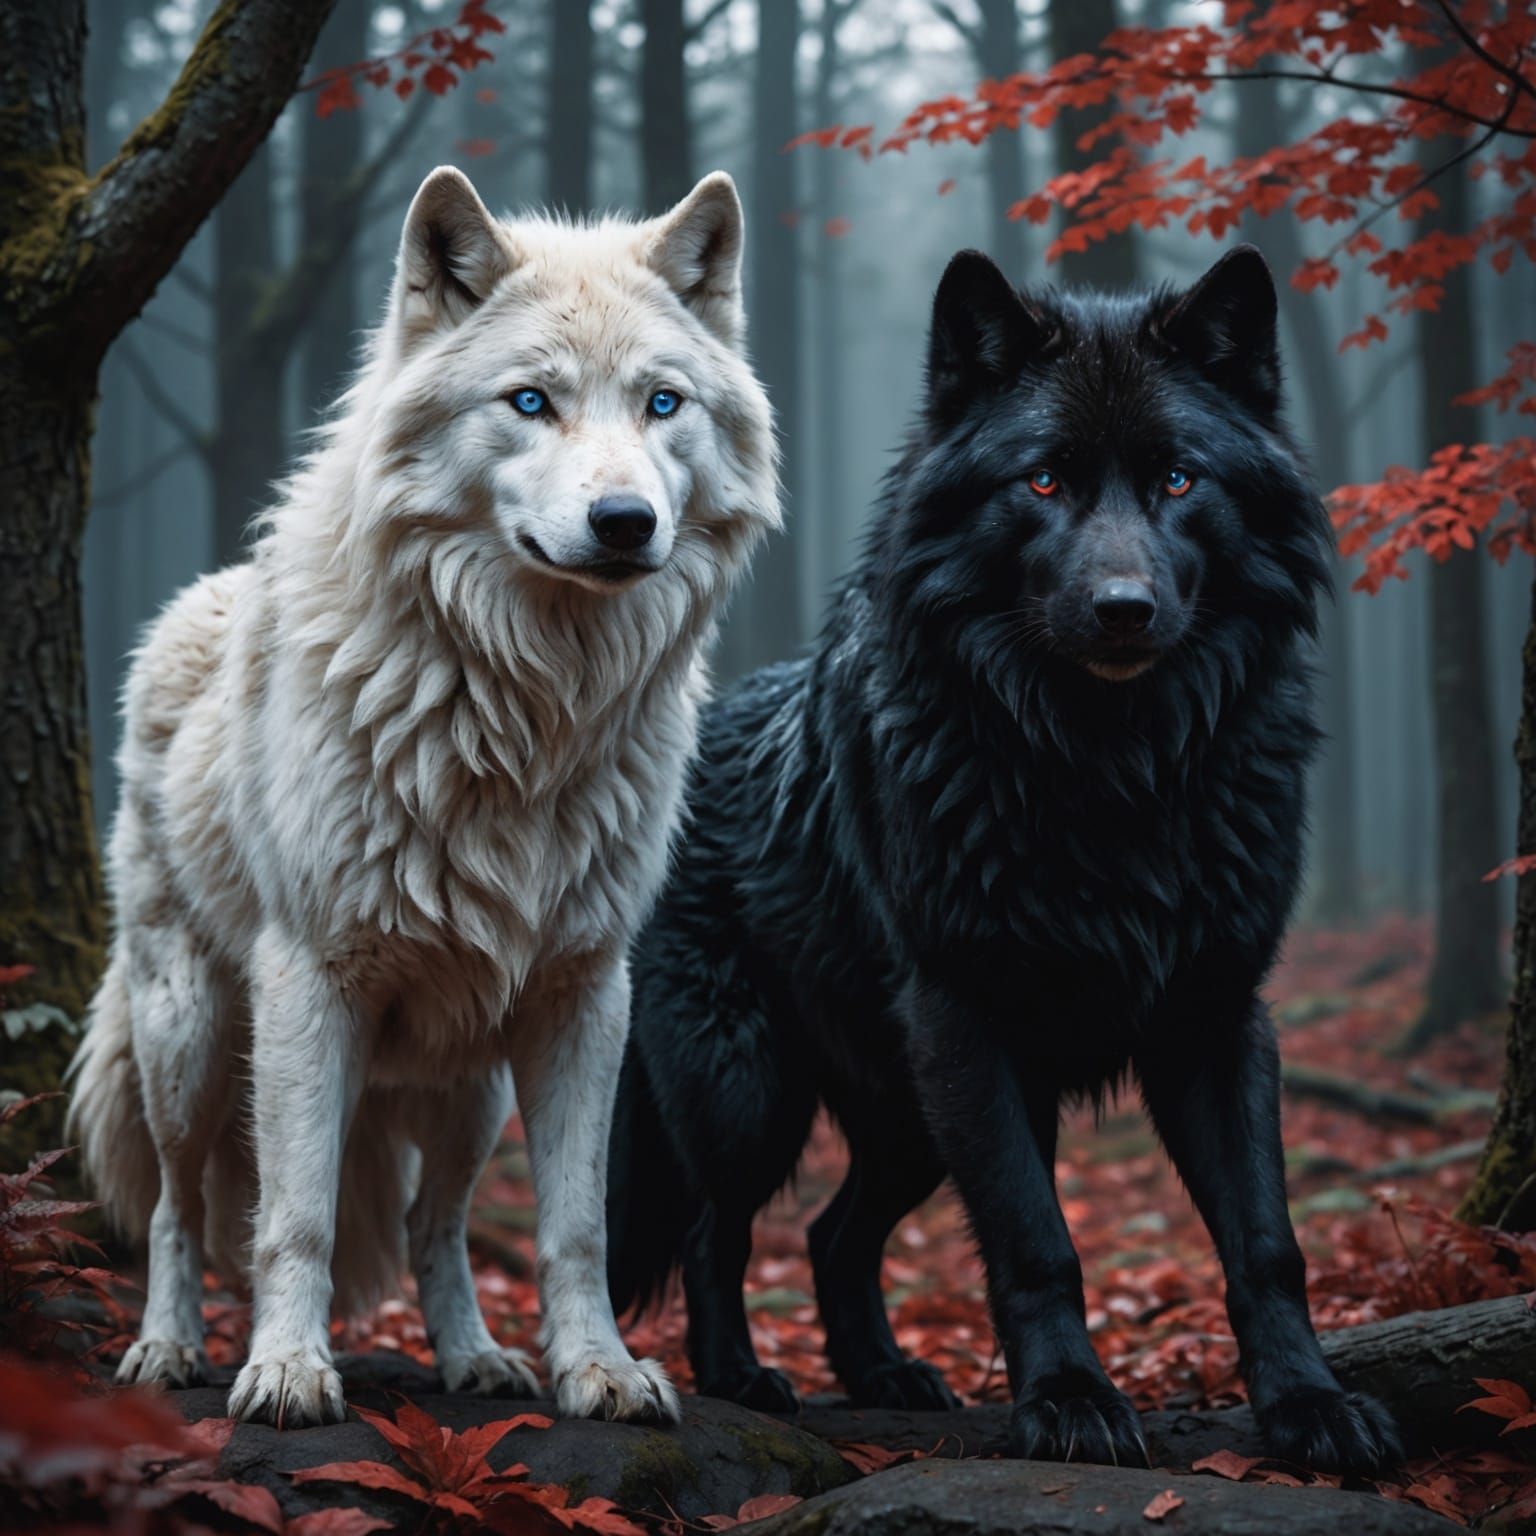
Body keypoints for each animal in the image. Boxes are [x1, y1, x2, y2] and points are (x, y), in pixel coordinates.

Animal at [69, 165, 778, 1429]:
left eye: (663, 404)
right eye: (531, 401)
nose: (625, 523)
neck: (523, 711)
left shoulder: (584, 991)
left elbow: (576, 1227)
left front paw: (599, 1370)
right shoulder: (312, 977)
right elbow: (293, 1218)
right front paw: (286, 1370)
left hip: (469, 1083)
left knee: (431, 1221)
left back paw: (476, 1359)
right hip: (186, 1035)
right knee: (176, 1204)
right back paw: (168, 1347)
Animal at [608, 246, 1401, 1474]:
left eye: (1180, 481)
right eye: (1042, 483)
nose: (1124, 610)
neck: (1111, 776)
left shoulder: (1217, 1018)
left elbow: (1268, 1245)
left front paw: (1309, 1406)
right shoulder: (970, 1023)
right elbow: (1038, 1242)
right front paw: (1070, 1405)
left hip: (903, 1122)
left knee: (833, 1235)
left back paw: (885, 1376)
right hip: (753, 1093)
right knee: (713, 1229)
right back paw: (742, 1377)